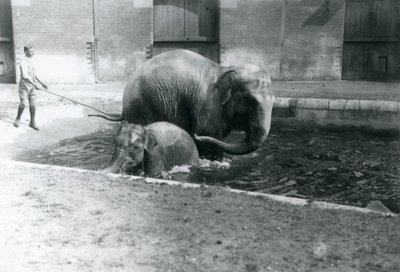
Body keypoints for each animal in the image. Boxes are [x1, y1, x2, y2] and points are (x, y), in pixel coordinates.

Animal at [89, 48, 274, 156]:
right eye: (252, 102)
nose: (195, 135)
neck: (223, 70)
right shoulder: (207, 105)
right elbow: (210, 138)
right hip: (140, 106)